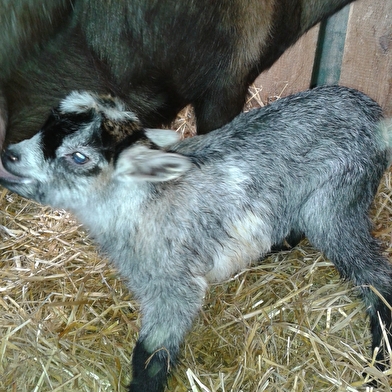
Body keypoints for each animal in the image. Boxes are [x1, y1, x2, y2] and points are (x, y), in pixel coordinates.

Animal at [0, 85, 392, 388]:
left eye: (79, 157)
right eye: (45, 126)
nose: (9, 156)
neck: (142, 203)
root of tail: (370, 109)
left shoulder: (174, 283)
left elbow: (153, 352)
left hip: (338, 200)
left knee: (376, 278)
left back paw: (379, 363)